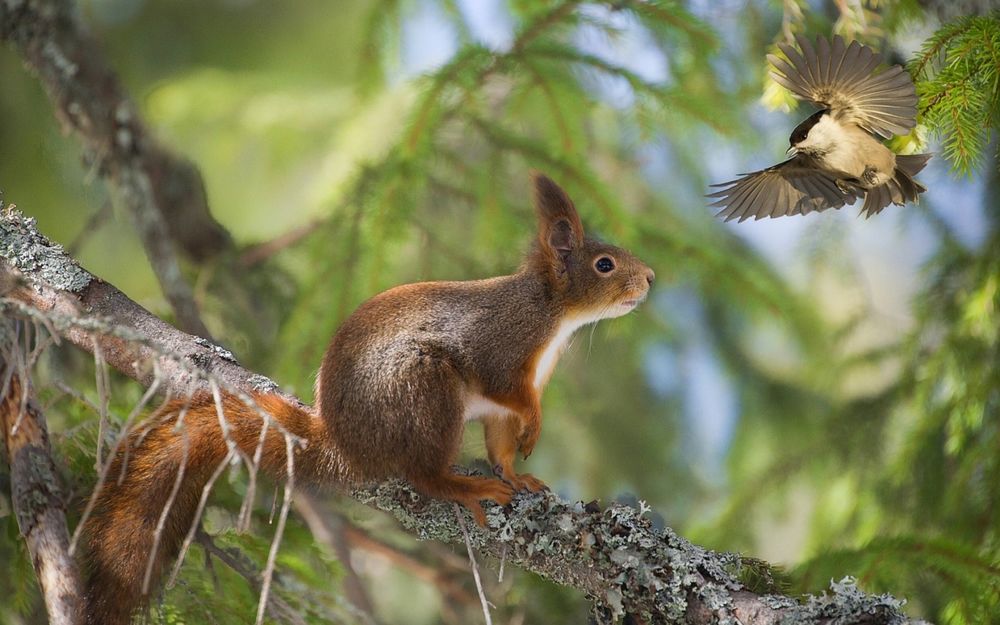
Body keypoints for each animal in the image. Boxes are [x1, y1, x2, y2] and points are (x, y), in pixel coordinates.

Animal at [80, 172, 656, 624]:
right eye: (605, 264)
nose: (650, 278)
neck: (552, 313)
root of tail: (344, 444)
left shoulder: (499, 407)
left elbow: (500, 446)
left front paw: (519, 475)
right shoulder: (501, 352)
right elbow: (510, 395)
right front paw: (533, 427)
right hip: (423, 387)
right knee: (423, 474)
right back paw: (462, 485)